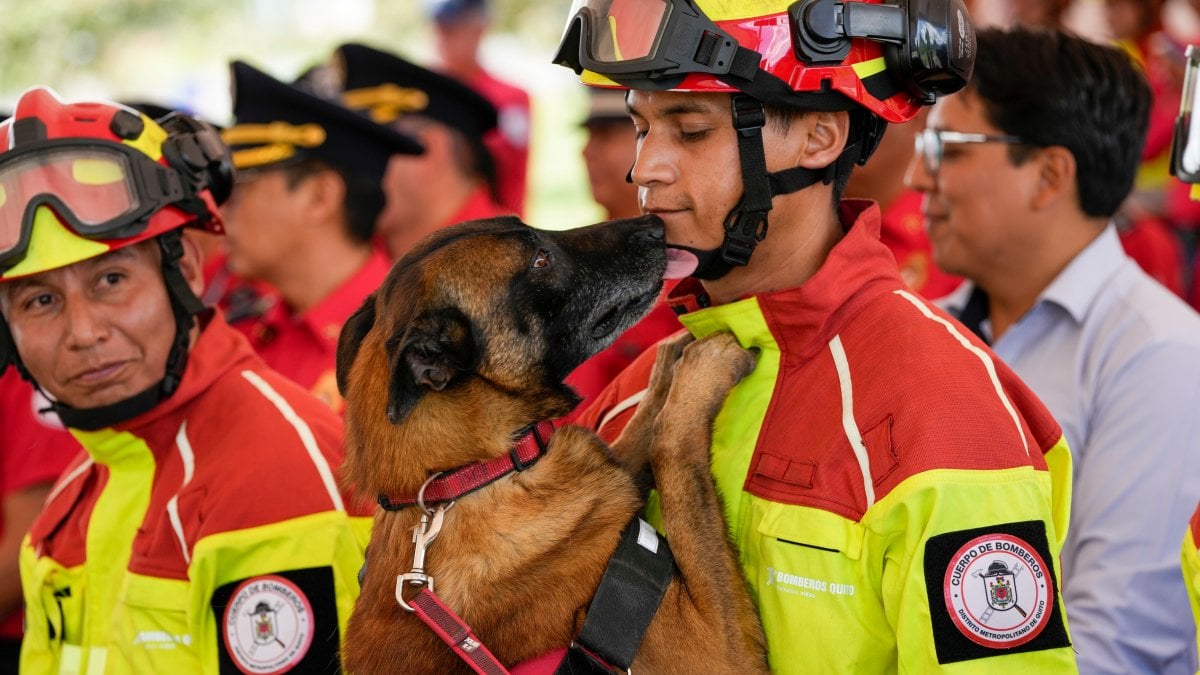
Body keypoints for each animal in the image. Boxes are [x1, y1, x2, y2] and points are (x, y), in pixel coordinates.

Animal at [338, 214, 768, 672]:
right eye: (540, 261)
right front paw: (704, 369)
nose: (654, 224)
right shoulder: (717, 649)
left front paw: (667, 365)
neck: (475, 472)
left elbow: (639, 431)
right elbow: (671, 445)